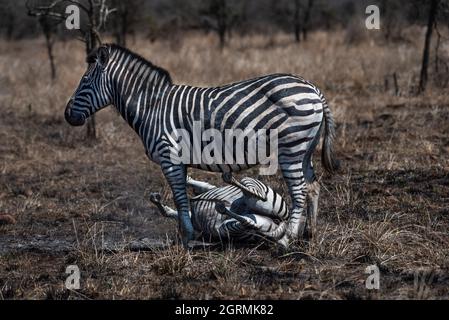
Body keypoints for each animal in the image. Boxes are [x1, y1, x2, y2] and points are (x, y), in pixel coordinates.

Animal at [62, 43, 336, 248]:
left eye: (85, 81)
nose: (67, 115)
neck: (152, 108)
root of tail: (312, 87)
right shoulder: (179, 160)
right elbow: (183, 195)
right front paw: (183, 233)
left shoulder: (169, 157)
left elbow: (180, 198)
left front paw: (187, 237)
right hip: (305, 148)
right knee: (312, 187)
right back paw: (308, 234)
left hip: (292, 147)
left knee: (299, 192)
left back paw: (288, 238)